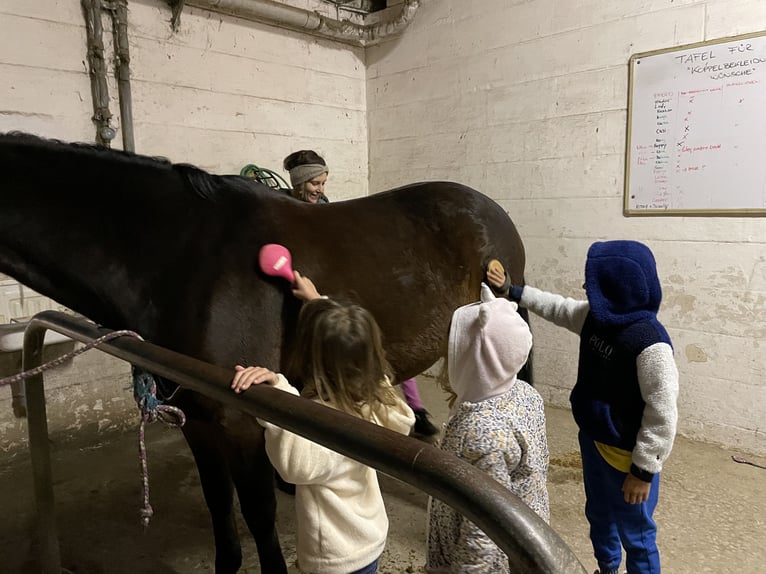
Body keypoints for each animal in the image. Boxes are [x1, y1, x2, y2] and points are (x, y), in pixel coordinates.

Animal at [0, 133, 528, 572]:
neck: (178, 255)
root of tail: (488, 206)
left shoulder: (240, 418)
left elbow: (257, 510)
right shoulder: (196, 417)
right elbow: (218, 502)